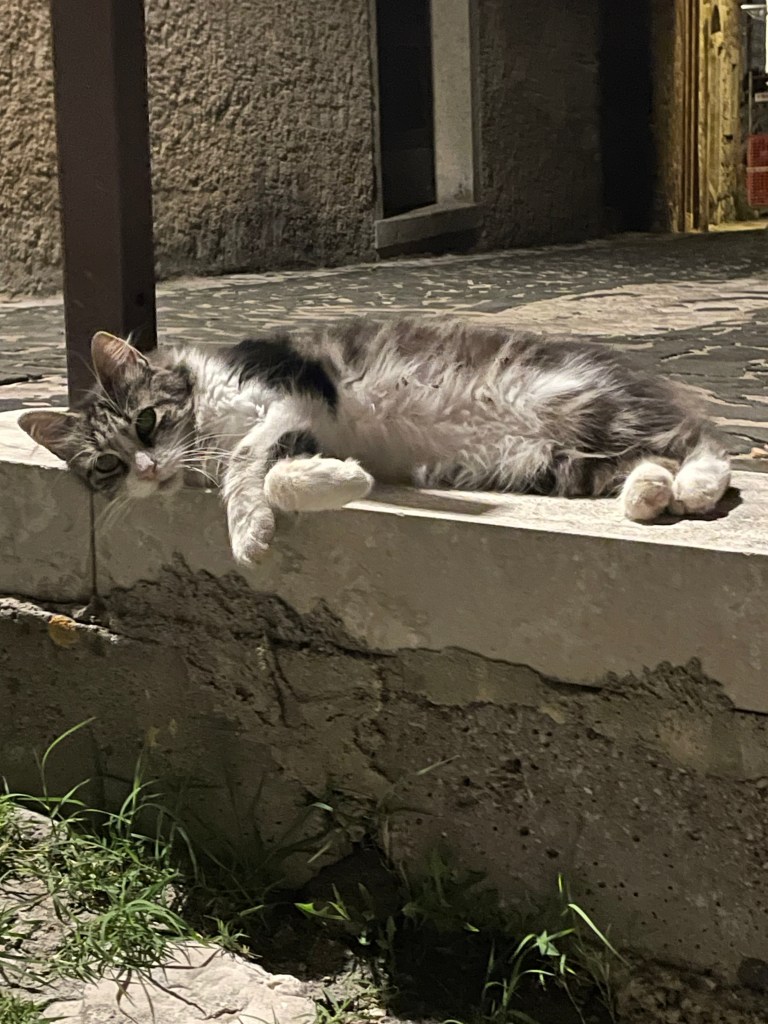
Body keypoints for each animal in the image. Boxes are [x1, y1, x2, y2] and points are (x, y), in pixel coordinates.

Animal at [19, 317, 731, 565]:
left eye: (145, 421)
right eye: (106, 465)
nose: (144, 468)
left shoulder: (289, 396)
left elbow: (254, 465)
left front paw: (252, 529)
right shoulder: (296, 423)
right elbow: (274, 469)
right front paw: (341, 478)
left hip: (579, 406)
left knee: (701, 439)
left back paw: (692, 487)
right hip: (551, 462)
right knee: (644, 460)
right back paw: (651, 493)